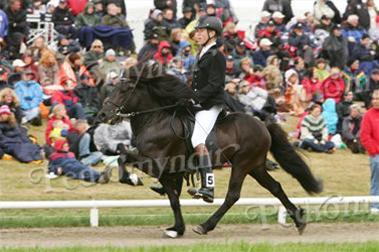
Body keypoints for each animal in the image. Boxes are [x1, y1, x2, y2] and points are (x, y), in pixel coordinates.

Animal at [96, 61, 322, 238]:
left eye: (124, 90)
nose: (102, 115)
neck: (156, 120)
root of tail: (262, 124)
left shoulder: (155, 164)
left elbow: (123, 156)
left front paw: (130, 179)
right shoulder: (168, 171)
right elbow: (173, 199)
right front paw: (177, 229)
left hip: (242, 164)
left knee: (233, 195)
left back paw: (205, 225)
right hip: (255, 166)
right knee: (275, 187)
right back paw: (299, 220)